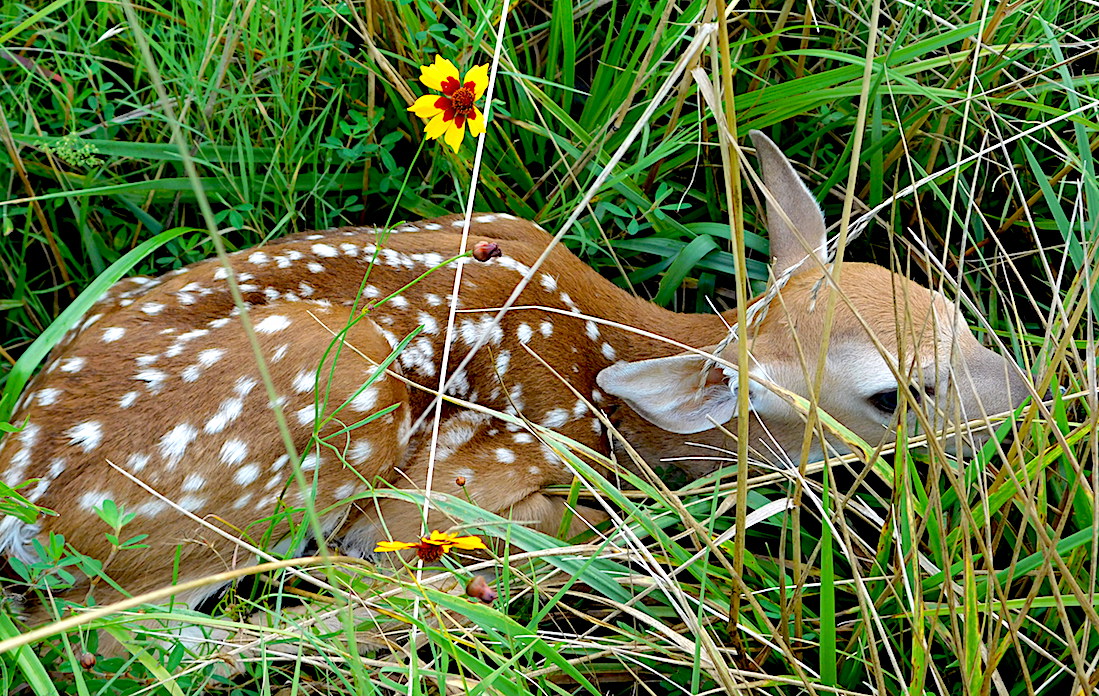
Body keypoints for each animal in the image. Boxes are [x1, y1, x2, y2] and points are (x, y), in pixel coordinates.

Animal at [0, 131, 1033, 639]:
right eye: (898, 394)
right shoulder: (468, 478)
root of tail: (25, 497)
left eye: (954, 310)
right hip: (328, 394)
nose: (1026, 400)